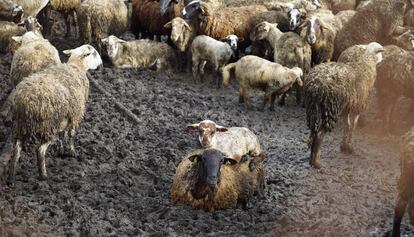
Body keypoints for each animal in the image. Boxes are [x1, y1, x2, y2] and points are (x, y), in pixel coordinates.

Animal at [5, 44, 102, 185]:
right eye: (94, 53)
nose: (101, 65)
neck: (76, 67)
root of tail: (25, 101)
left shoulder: (65, 118)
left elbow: (62, 135)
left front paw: (61, 150)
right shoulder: (75, 115)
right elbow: (71, 135)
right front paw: (72, 153)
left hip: (22, 126)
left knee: (16, 150)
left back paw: (11, 177)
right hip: (48, 126)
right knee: (40, 150)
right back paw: (43, 175)